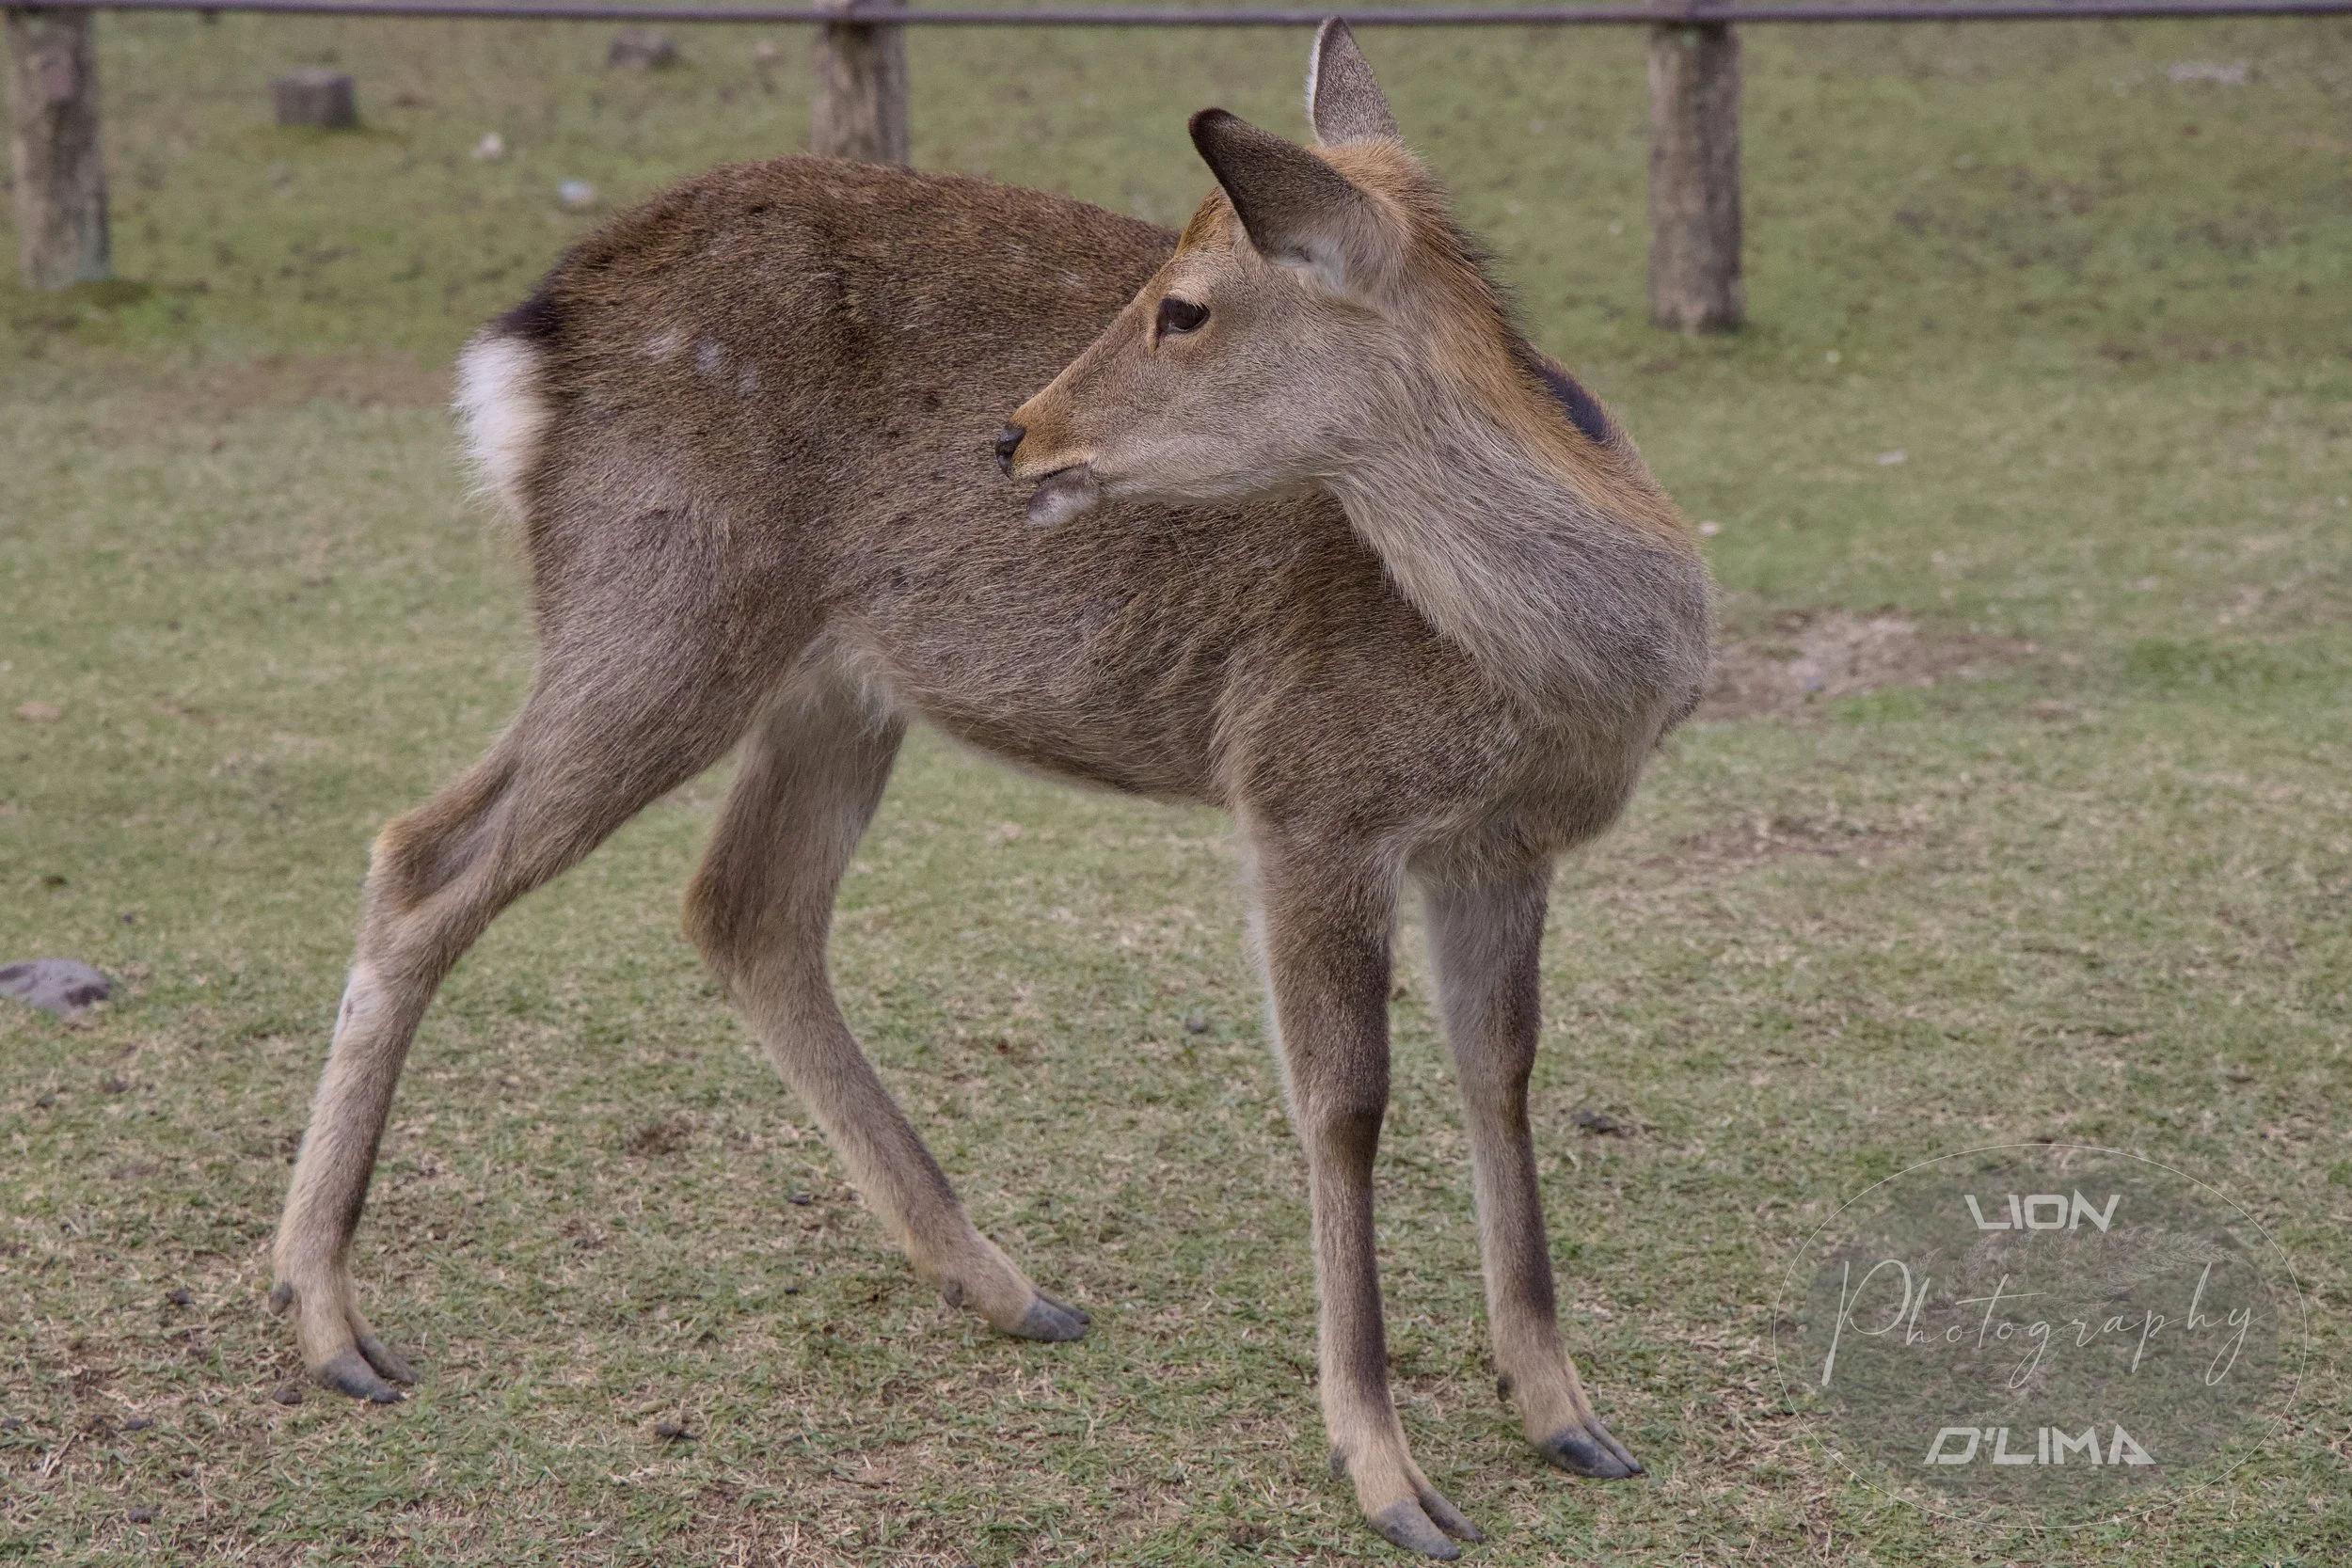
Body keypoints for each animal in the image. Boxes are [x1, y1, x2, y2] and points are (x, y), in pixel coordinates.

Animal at [267, 20, 1711, 1557]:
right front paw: (1389, 1472)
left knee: (742, 903)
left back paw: (1010, 1286)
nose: (1016, 433)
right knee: (425, 854)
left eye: (1185, 308)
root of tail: (525, 342)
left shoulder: (1507, 845)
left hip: (831, 681)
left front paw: (1567, 1414)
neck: (1569, 676)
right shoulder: (1306, 790)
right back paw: (330, 1321)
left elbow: (1503, 1072)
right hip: (656, 610)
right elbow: (1346, 1101)